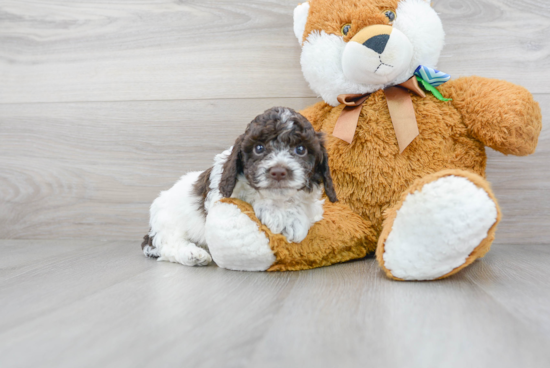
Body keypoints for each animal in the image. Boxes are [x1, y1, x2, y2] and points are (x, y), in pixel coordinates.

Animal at [142, 107, 338, 268]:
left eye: (301, 149)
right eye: (259, 148)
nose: (278, 172)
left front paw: (294, 218)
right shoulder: (223, 189)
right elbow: (252, 194)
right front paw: (278, 216)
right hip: (167, 223)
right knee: (169, 245)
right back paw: (193, 254)